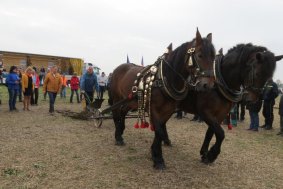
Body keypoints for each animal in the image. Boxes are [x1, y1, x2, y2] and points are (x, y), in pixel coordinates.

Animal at [110, 29, 216, 170]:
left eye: (214, 57)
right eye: (199, 55)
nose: (208, 85)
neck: (164, 78)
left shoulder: (168, 110)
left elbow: (160, 130)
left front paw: (154, 153)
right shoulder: (154, 109)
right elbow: (159, 130)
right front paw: (158, 159)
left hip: (130, 101)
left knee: (122, 112)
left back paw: (120, 131)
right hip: (117, 98)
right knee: (116, 113)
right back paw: (118, 136)